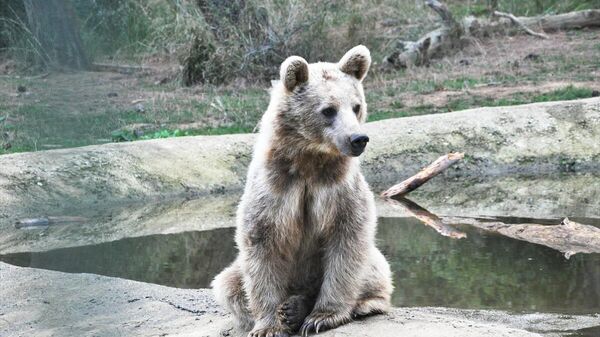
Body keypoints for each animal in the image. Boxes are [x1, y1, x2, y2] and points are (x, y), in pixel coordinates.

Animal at [212, 45, 394, 336]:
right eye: (329, 110)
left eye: (356, 106)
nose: (358, 139)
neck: (309, 160)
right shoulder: (274, 189)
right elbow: (261, 245)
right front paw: (268, 326)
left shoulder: (340, 189)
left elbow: (347, 240)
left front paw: (322, 316)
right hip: (235, 272)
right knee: (228, 284)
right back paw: (291, 308)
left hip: (368, 261)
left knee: (376, 267)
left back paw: (357, 304)